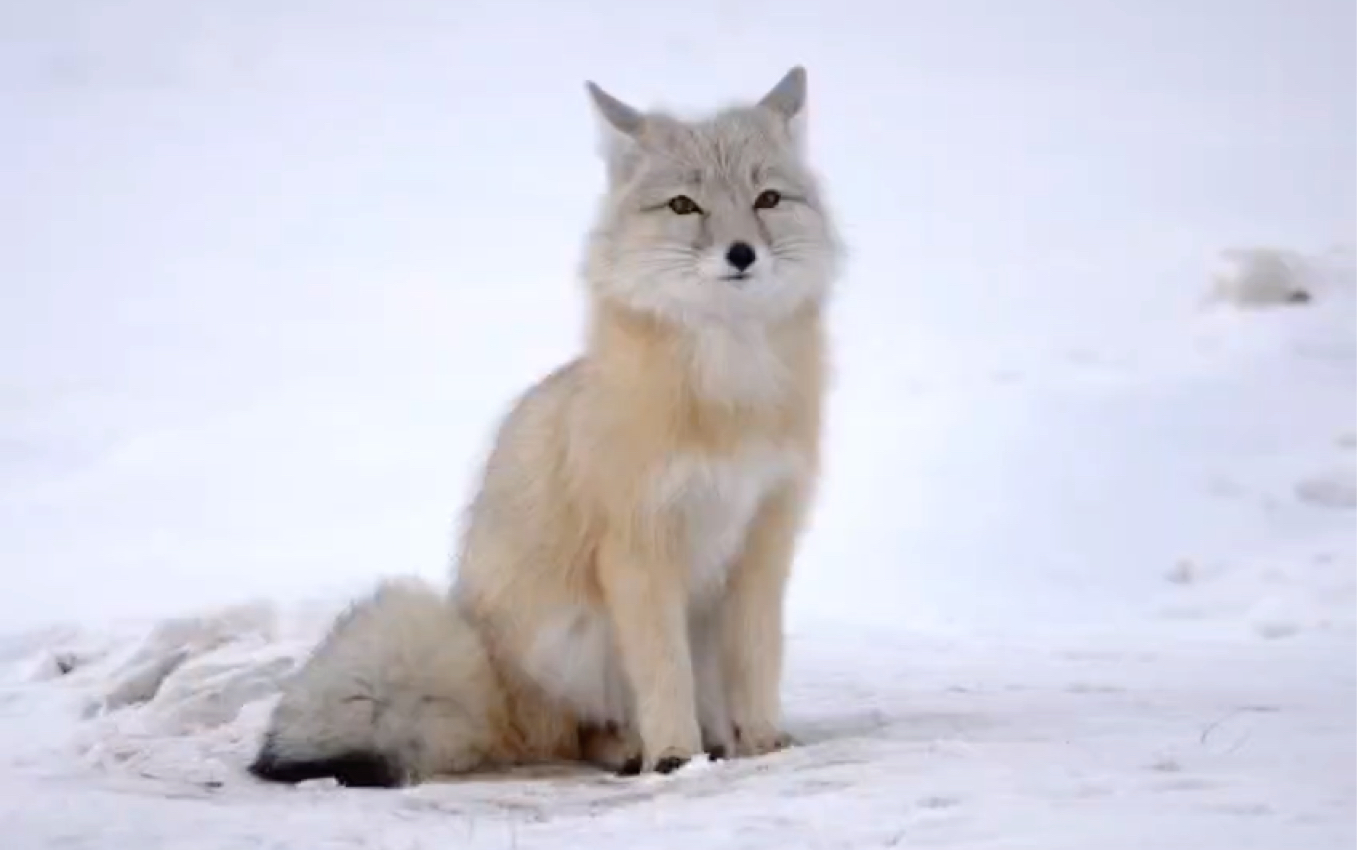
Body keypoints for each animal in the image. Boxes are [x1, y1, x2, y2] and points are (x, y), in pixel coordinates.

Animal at [245, 66, 835, 787]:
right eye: (683, 206)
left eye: (767, 198)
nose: (742, 253)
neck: (728, 402)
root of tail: (497, 692)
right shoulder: (639, 548)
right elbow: (663, 674)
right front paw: (674, 755)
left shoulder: (763, 539)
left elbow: (757, 664)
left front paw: (763, 744)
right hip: (574, 640)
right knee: (573, 735)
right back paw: (631, 748)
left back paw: (717, 740)